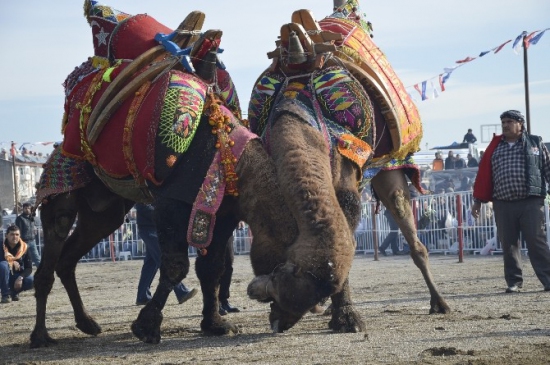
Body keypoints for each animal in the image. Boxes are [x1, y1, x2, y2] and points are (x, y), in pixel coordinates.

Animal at [30, 0, 302, 346]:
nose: (288, 320)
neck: (225, 152)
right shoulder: (172, 203)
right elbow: (175, 266)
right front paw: (146, 327)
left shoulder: (223, 212)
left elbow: (211, 266)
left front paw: (215, 323)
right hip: (65, 184)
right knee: (51, 252)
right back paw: (40, 335)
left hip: (104, 212)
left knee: (68, 259)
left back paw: (87, 323)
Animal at [248, 0, 450, 332]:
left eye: (279, 281)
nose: (279, 323)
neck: (295, 113)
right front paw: (337, 310)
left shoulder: (347, 165)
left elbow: (348, 217)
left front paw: (346, 316)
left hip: (389, 167)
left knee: (413, 238)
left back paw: (440, 303)